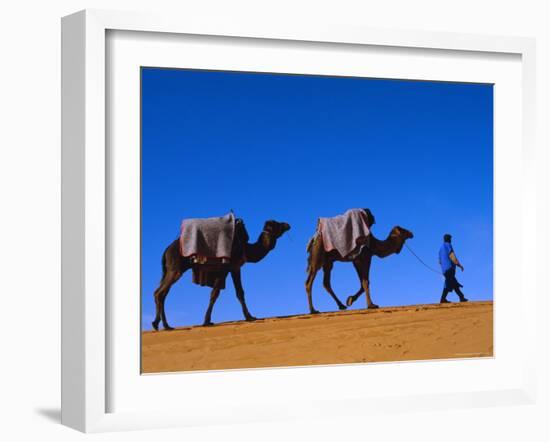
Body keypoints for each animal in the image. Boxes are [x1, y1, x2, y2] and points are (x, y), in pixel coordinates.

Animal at [153, 219, 292, 330]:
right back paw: (162, 325)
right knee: (160, 292)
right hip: (176, 269)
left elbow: (239, 292)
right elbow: (215, 293)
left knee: (162, 293)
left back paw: (162, 325)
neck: (245, 247)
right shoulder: (226, 268)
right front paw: (206, 321)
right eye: (277, 224)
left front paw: (250, 317)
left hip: (170, 270)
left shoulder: (235, 268)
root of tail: (166, 250)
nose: (287, 224)